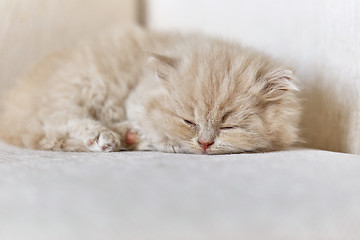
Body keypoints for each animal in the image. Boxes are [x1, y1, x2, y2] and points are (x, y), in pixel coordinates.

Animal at [0, 26, 300, 154]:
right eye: (188, 121)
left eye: (230, 127)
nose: (205, 143)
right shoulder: (133, 100)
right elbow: (155, 128)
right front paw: (164, 140)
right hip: (83, 84)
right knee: (60, 118)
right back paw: (106, 137)